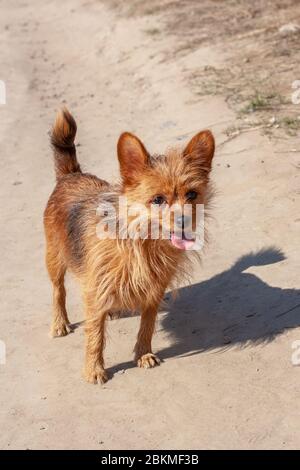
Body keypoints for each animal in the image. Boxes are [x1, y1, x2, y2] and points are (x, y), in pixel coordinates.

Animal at [43, 108, 214, 384]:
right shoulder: (95, 288)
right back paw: (59, 322)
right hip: (55, 258)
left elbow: (147, 325)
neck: (142, 242)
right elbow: (95, 334)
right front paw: (94, 368)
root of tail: (71, 175)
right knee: (59, 290)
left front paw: (143, 353)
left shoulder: (154, 289)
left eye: (192, 195)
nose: (184, 219)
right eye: (158, 200)